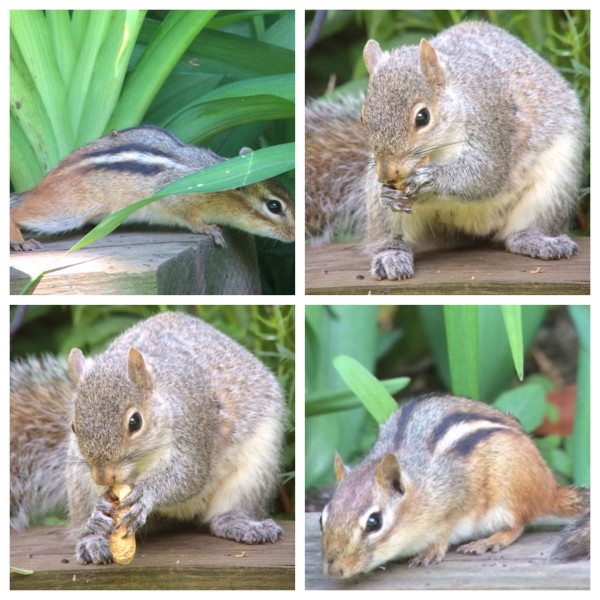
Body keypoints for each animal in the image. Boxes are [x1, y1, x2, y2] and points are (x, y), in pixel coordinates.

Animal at [10, 312, 288, 564]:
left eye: (135, 422)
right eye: (73, 426)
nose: (103, 477)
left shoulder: (194, 428)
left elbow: (186, 477)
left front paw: (146, 494)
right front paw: (100, 509)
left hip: (254, 470)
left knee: (227, 511)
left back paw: (242, 524)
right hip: (77, 482)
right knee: (82, 523)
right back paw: (93, 538)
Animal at [304, 21, 584, 278]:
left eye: (422, 117)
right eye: (363, 117)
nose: (386, 173)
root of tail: (471, 229)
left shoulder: (494, 128)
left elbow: (485, 175)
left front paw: (433, 179)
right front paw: (388, 193)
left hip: (551, 190)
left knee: (520, 232)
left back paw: (538, 241)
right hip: (381, 211)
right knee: (391, 237)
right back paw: (391, 255)